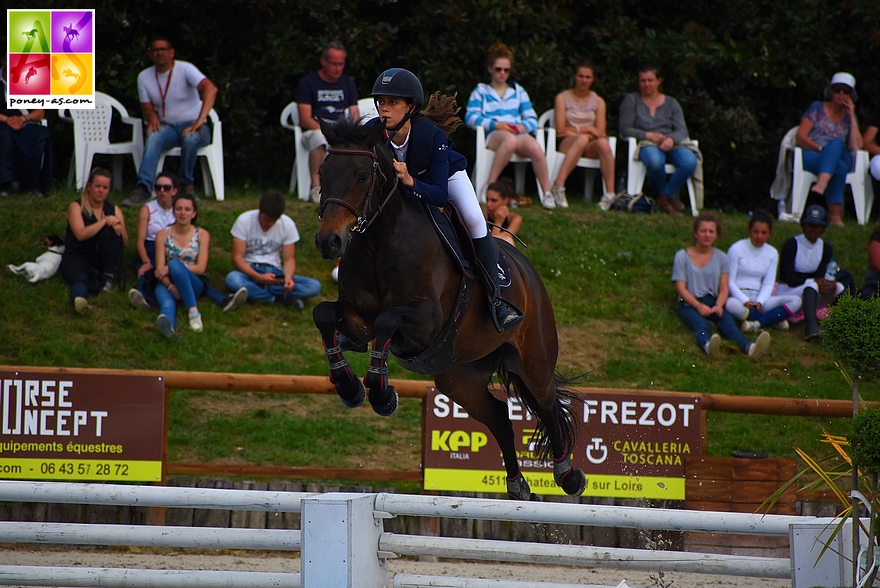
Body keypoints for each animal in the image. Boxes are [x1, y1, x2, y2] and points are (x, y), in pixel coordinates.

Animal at [312, 116, 588, 500]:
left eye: (363, 176)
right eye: (322, 173)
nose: (329, 242)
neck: (380, 241)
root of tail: (527, 271)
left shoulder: (426, 321)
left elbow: (387, 320)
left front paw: (381, 395)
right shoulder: (356, 317)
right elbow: (324, 314)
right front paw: (350, 387)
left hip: (534, 358)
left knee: (547, 405)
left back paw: (568, 475)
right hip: (460, 377)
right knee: (499, 416)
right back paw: (517, 484)